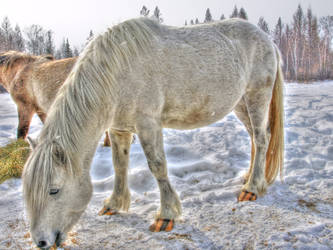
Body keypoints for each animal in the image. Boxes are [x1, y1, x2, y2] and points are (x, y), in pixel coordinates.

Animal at [22, 18, 282, 248]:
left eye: (54, 190)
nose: (41, 242)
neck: (117, 71)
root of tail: (266, 38)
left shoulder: (148, 124)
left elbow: (158, 166)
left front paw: (166, 215)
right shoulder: (118, 129)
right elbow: (119, 165)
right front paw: (114, 203)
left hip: (257, 97)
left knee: (261, 138)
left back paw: (251, 189)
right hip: (240, 104)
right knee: (253, 138)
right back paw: (250, 177)